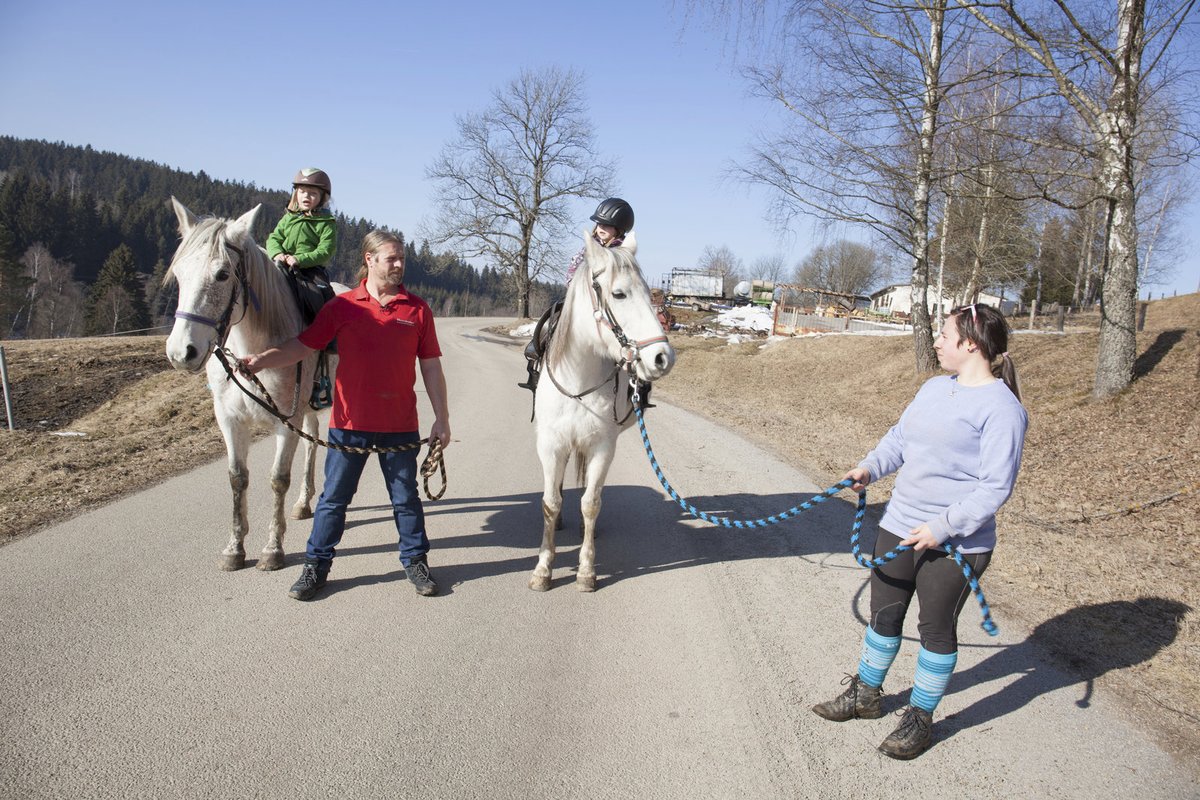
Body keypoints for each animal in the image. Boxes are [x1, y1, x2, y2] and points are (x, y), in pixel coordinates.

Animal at [163, 196, 333, 573]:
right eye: (179, 275)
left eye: (223, 274)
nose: (181, 352)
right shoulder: (230, 420)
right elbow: (237, 478)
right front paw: (234, 548)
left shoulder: (287, 420)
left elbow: (278, 479)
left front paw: (273, 549)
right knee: (312, 441)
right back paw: (304, 503)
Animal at [532, 227, 681, 592]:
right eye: (619, 294)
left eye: (650, 294)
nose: (662, 358)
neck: (577, 384)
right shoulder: (551, 444)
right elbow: (550, 502)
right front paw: (543, 568)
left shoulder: (602, 446)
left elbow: (591, 502)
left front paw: (586, 569)